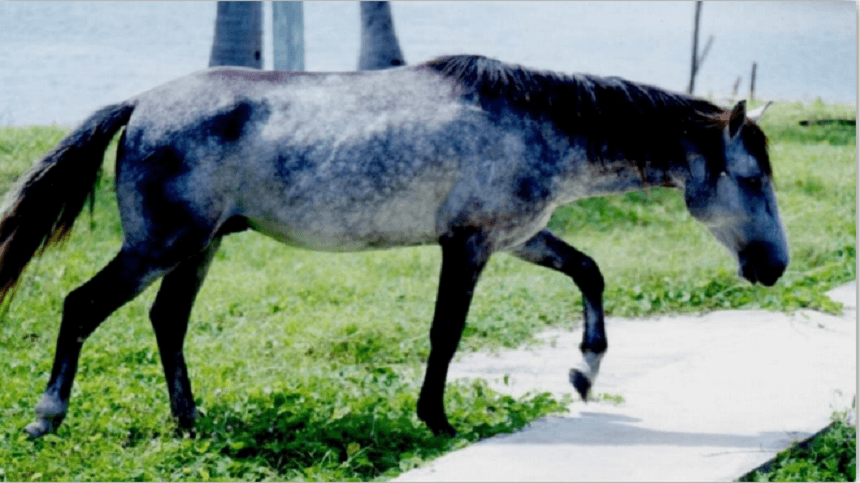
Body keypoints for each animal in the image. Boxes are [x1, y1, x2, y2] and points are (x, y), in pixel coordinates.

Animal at [0, 54, 788, 440]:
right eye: (750, 178)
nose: (774, 265)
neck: (533, 122)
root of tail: (141, 104)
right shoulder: (467, 245)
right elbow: (446, 332)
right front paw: (435, 417)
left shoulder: (518, 237)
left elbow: (590, 272)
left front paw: (585, 372)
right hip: (161, 244)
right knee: (81, 306)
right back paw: (47, 418)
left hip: (198, 247)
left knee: (167, 321)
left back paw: (188, 421)